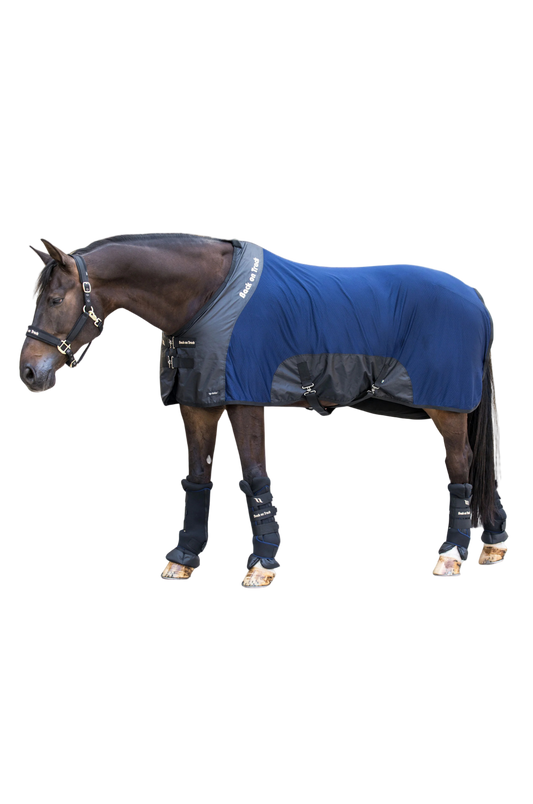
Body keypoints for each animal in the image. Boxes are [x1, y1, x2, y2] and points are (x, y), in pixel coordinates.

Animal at [17, 232, 510, 588]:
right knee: (483, 469)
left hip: (446, 408)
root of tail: (475, 297)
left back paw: (450, 555)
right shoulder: (198, 403)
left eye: (56, 300)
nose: (28, 372)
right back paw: (491, 546)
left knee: (461, 466)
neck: (209, 297)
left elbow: (255, 476)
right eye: (35, 298)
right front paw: (182, 559)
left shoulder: (246, 400)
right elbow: (197, 478)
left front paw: (261, 564)